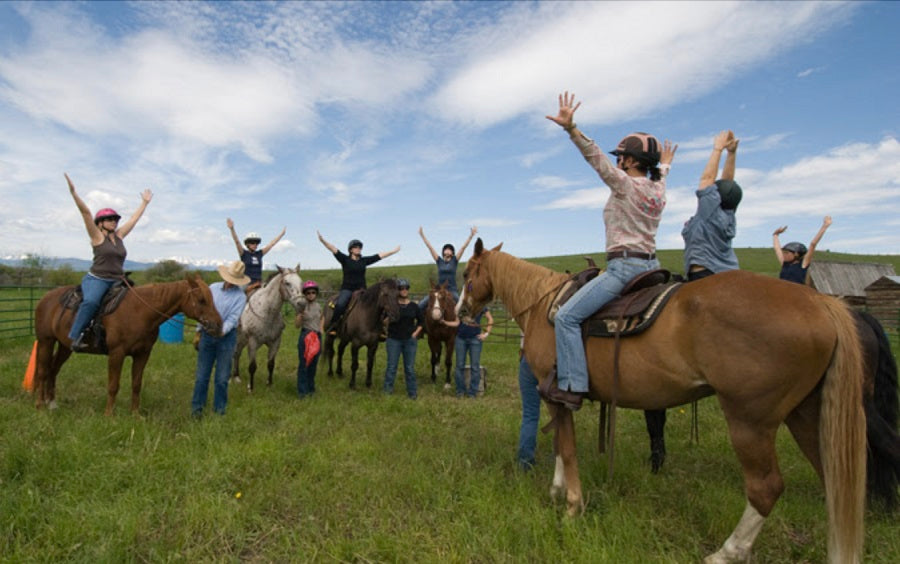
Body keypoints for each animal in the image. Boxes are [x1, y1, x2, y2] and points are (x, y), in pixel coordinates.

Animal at [32, 276, 222, 416]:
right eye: (201, 300)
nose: (218, 325)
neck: (139, 311)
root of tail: (45, 299)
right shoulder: (117, 353)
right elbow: (113, 385)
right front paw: (109, 415)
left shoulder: (142, 354)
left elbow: (136, 384)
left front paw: (135, 414)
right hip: (45, 341)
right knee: (42, 371)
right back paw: (40, 405)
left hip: (65, 346)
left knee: (53, 370)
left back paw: (52, 403)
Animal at [460, 240, 868, 564]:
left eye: (467, 273)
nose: (462, 311)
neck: (546, 305)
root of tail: (819, 302)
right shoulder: (554, 400)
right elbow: (562, 445)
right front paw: (557, 491)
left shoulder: (559, 395)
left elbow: (569, 448)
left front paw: (572, 506)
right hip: (807, 416)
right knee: (833, 484)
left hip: (750, 421)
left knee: (765, 488)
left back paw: (727, 552)